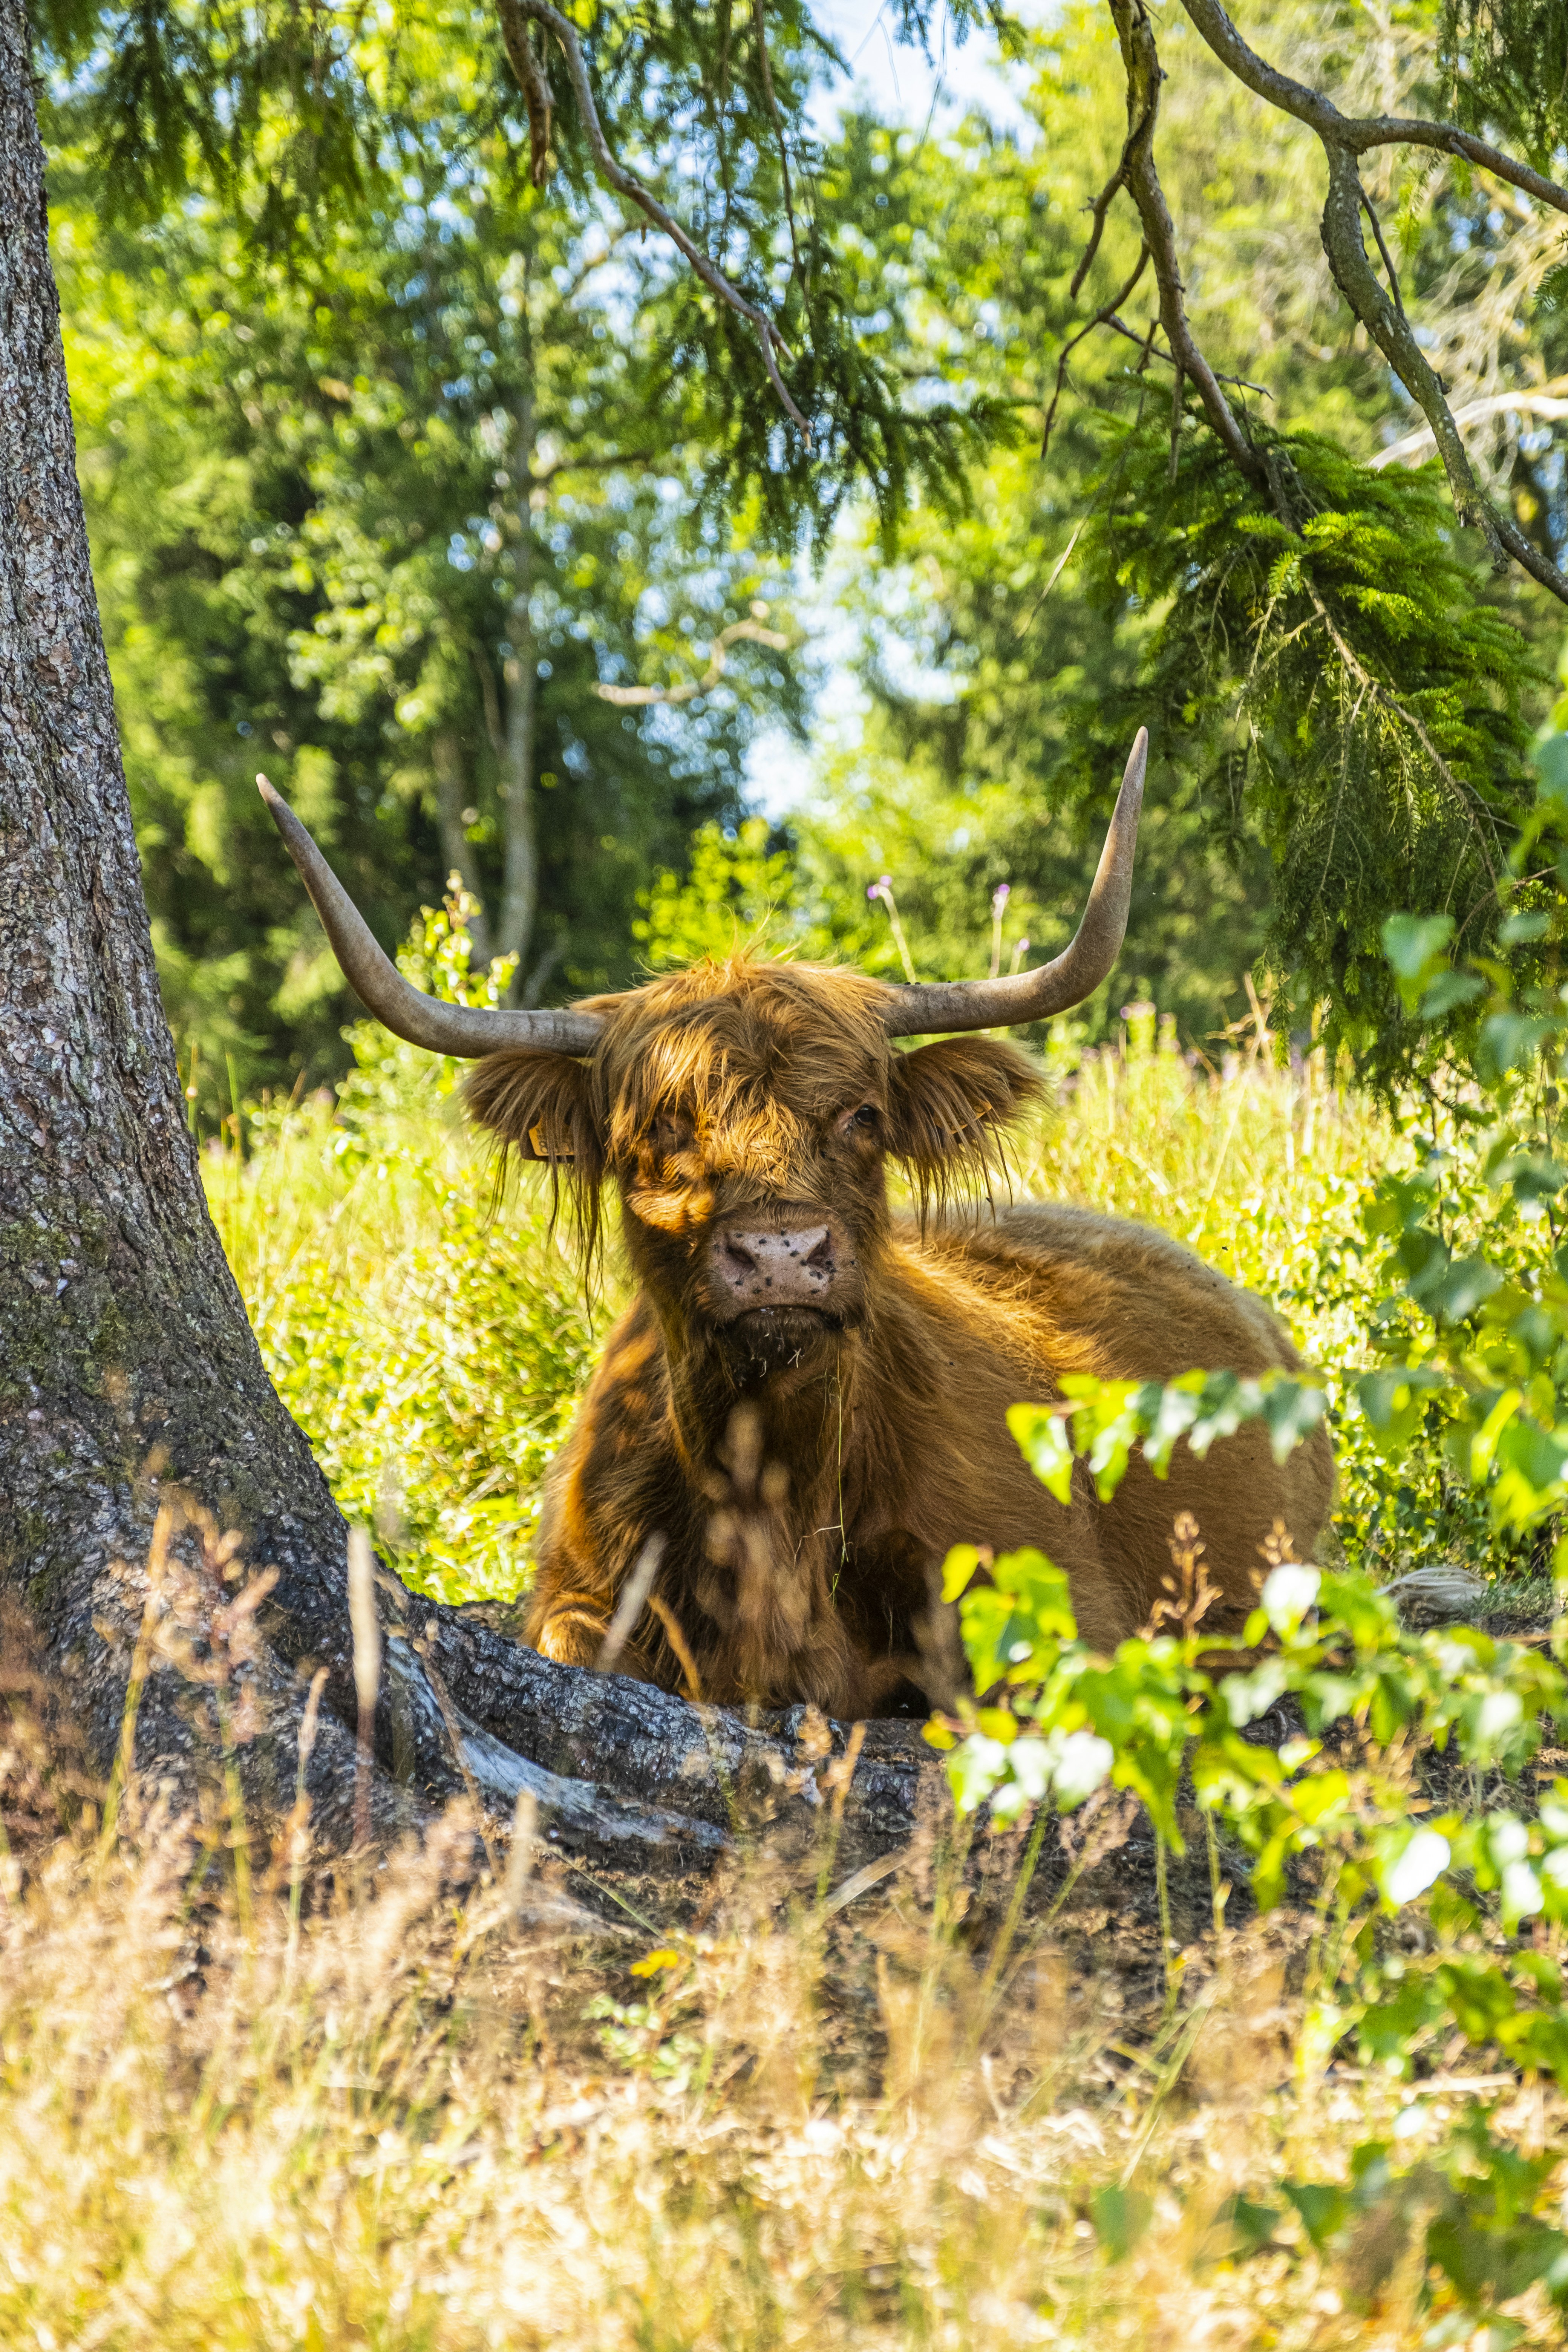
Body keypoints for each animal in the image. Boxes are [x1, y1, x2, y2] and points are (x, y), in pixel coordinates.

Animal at [260, 733, 1332, 1719]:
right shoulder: (574, 1591)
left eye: (861, 1116)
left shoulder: (1064, 1610)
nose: (780, 1257)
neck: (770, 1498)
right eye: (660, 1128)